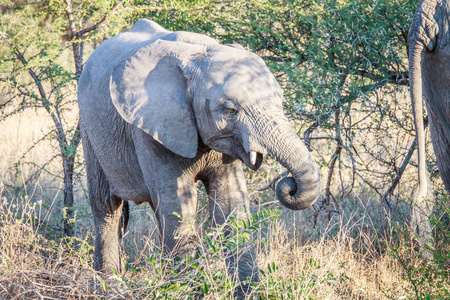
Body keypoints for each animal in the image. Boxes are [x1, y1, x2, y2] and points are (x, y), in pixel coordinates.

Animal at [78, 19, 320, 298]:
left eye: (280, 100)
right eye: (230, 110)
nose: (288, 185)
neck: (196, 58)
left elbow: (230, 203)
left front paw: (248, 294)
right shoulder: (151, 126)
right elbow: (180, 204)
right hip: (90, 130)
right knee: (107, 208)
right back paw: (111, 288)